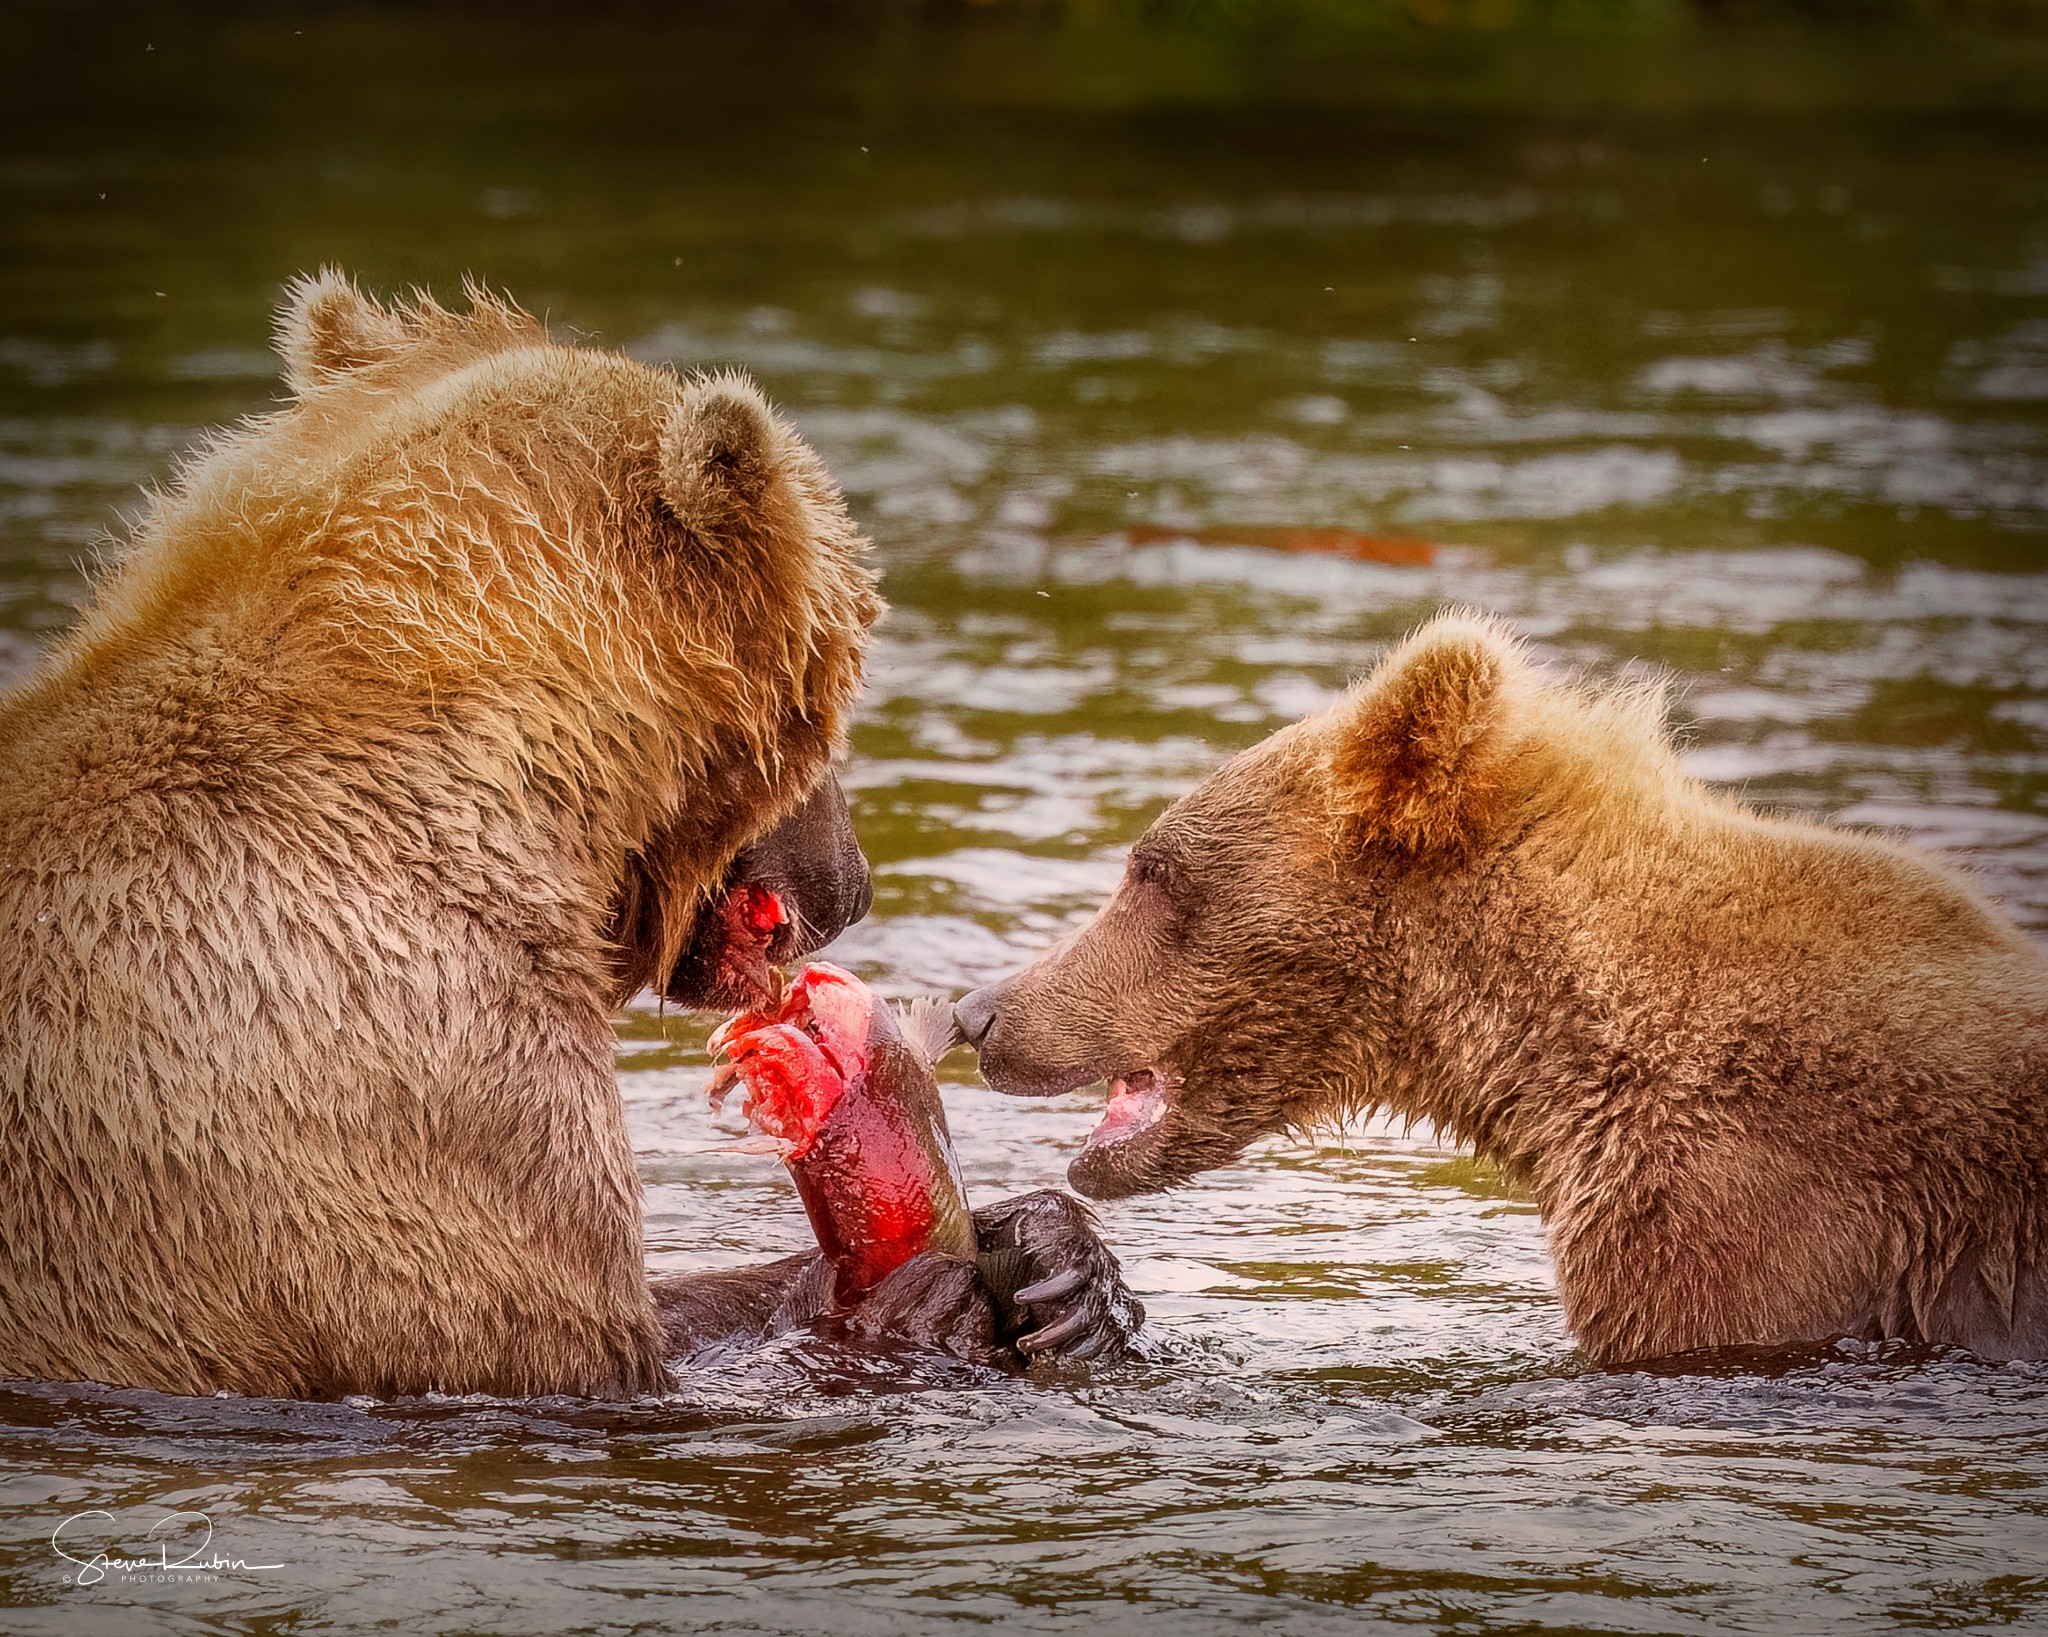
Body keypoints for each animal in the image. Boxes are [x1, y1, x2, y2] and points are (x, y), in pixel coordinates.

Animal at [0, 272, 1135, 1400]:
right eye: (828, 704)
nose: (850, 883)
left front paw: (1057, 1258)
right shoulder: (397, 1072)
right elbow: (573, 1335)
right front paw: (930, 1300)